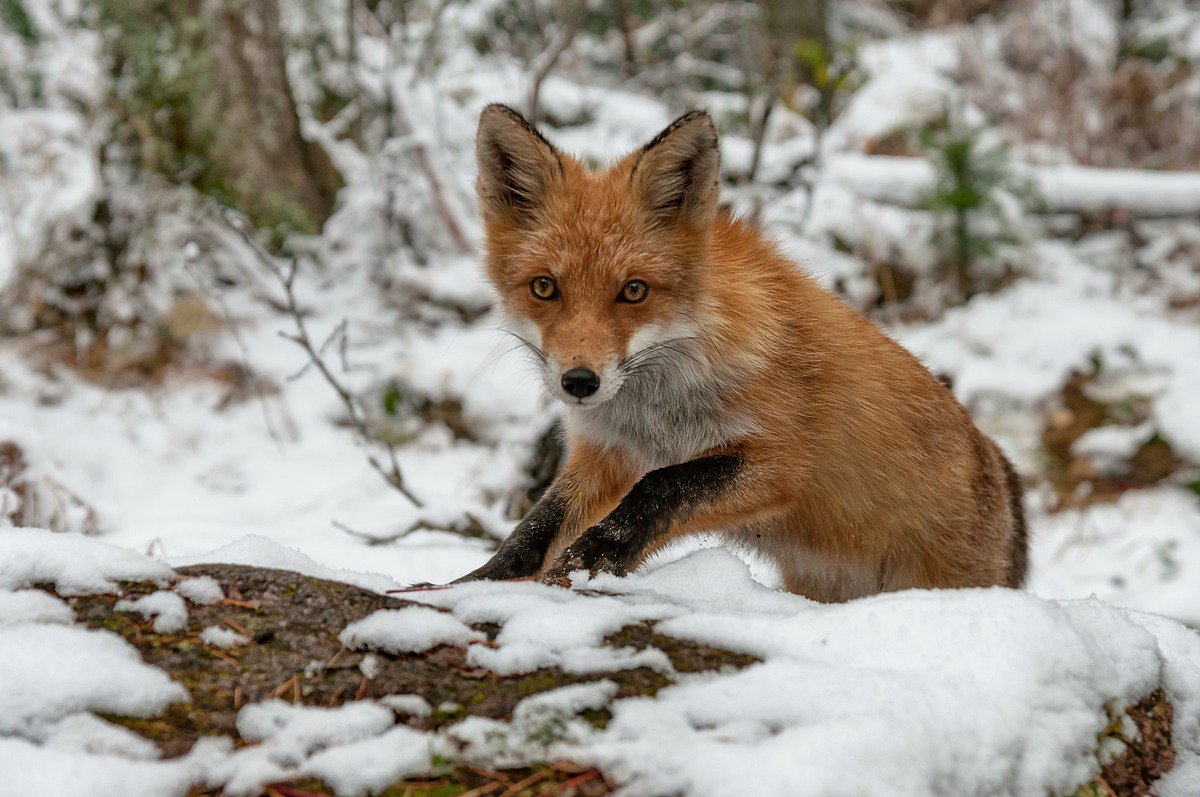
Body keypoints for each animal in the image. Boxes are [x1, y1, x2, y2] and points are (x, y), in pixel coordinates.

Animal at [453, 107, 1027, 604]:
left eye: (634, 291)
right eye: (544, 287)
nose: (579, 382)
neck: (657, 409)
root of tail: (1001, 466)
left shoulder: (781, 465)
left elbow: (662, 486)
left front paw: (594, 557)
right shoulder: (606, 454)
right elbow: (536, 525)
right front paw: (477, 581)